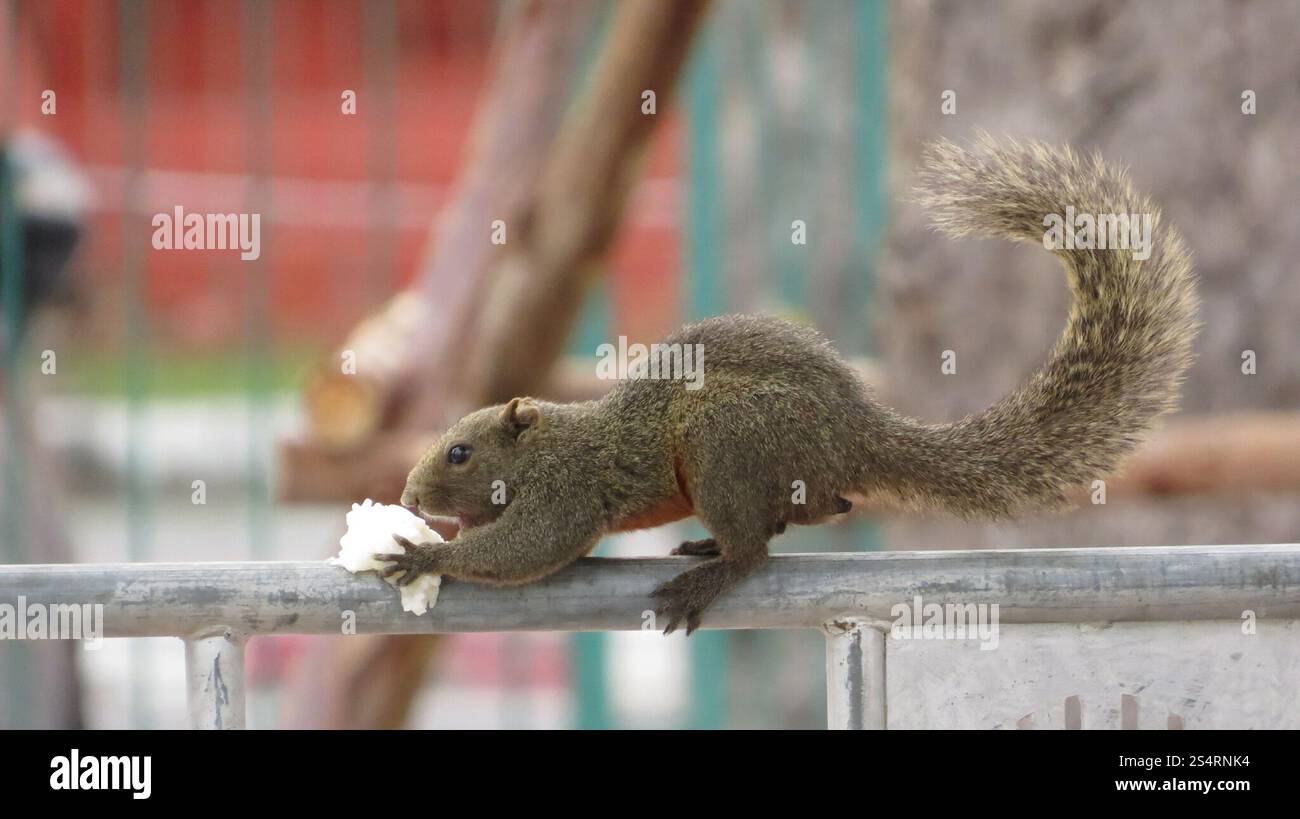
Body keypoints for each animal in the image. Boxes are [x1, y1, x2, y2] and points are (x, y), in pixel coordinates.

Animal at [377, 136, 1196, 634]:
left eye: (459, 453)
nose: (411, 497)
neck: (553, 440)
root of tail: (856, 431)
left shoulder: (567, 491)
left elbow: (529, 547)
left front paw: (422, 557)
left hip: (725, 438)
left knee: (761, 549)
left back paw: (710, 572)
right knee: (813, 513)